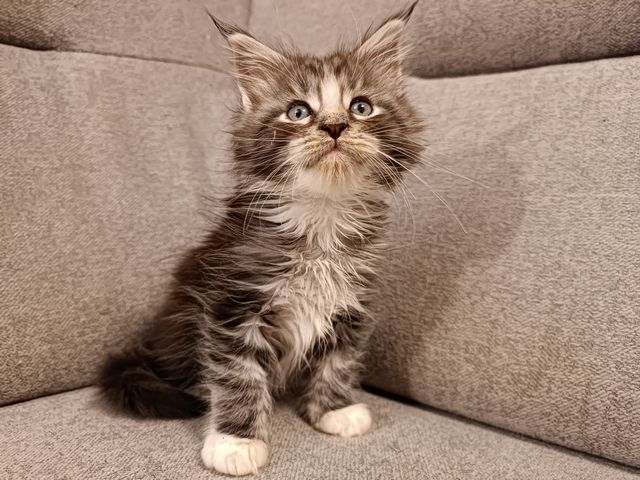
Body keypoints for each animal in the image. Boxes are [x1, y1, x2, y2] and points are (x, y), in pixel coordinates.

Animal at [100, 2, 422, 476]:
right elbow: (239, 376)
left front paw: (335, 409)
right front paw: (236, 442)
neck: (321, 219)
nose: (335, 126)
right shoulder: (231, 304)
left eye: (361, 107)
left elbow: (339, 358)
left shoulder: (351, 303)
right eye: (298, 112)